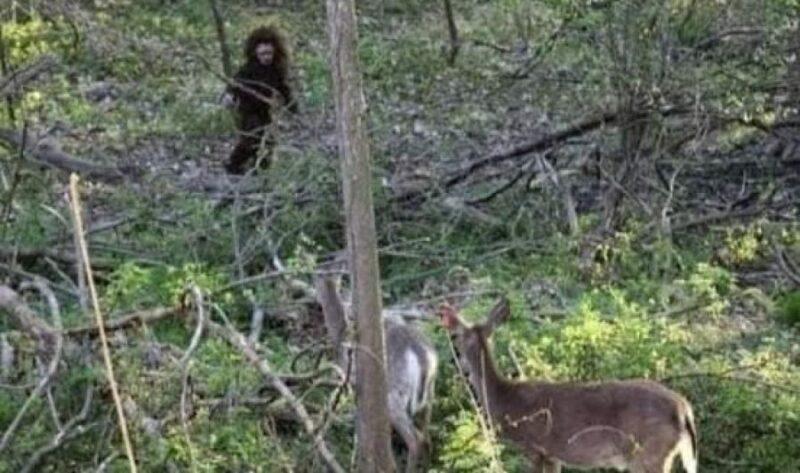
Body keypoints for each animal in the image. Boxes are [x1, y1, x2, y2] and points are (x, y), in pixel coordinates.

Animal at [314, 272, 438, 472]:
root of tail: (424, 355)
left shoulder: (354, 381)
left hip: (395, 393)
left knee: (415, 439)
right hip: (429, 394)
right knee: (426, 435)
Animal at [440, 298, 696, 472]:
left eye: (455, 337)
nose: (454, 360)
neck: (503, 398)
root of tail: (684, 410)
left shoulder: (534, 447)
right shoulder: (552, 454)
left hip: (648, 454)